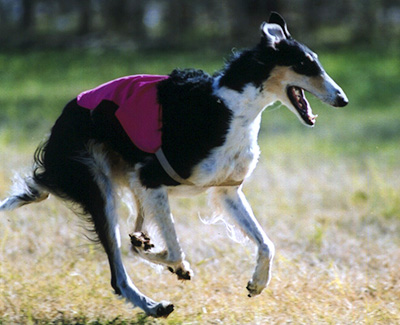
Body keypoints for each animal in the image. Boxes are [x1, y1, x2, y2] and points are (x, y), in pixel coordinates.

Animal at [0, 12, 346, 316]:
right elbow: (176, 249)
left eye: (315, 62)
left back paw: (145, 254)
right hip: (100, 189)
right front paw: (173, 264)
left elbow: (266, 244)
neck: (229, 107)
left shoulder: (226, 190)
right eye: (305, 65)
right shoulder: (152, 178)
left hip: (127, 184)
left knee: (134, 239)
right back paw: (153, 304)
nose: (343, 99)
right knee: (118, 273)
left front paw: (257, 283)